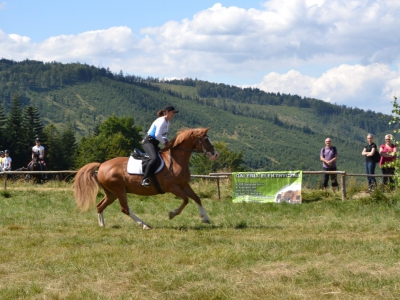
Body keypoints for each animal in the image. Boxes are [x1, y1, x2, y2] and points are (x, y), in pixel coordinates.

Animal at [75, 127, 219, 229]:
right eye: (206, 140)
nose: (215, 155)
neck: (177, 160)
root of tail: (102, 165)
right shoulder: (173, 187)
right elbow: (186, 200)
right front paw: (172, 214)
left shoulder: (184, 185)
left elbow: (196, 198)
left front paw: (205, 218)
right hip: (119, 190)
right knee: (124, 209)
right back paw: (144, 225)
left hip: (112, 193)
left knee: (100, 206)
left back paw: (102, 225)